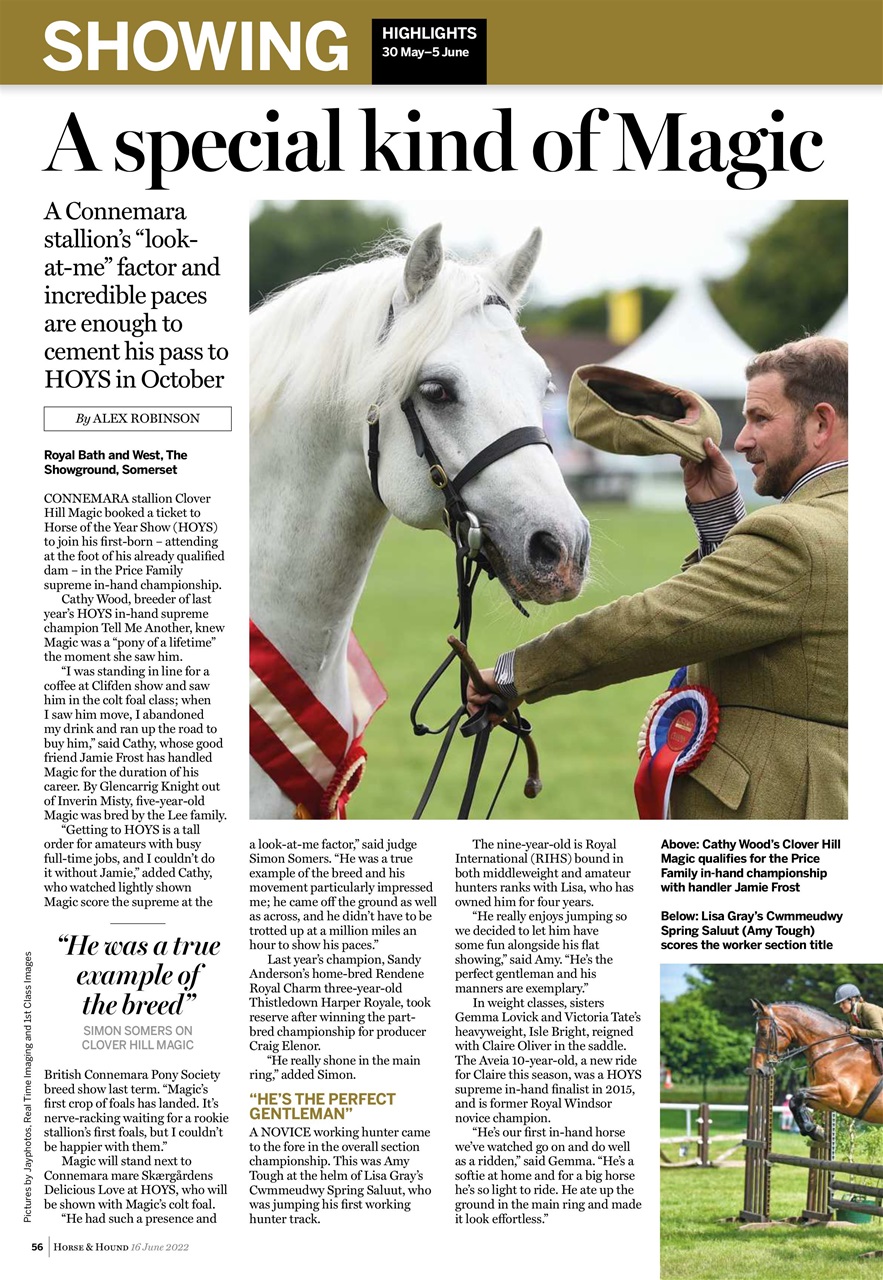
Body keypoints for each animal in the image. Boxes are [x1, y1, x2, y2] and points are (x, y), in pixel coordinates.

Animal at [751, 999, 883, 1142]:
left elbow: (799, 1095)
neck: (834, 1048)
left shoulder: (841, 1095)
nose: (759, 1069)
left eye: (763, 1032)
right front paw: (815, 1130)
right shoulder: (826, 1102)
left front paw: (812, 1129)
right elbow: (795, 1102)